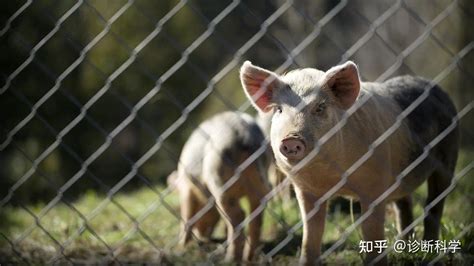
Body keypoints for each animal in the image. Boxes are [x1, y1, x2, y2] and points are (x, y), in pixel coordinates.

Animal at [172, 110, 272, 262]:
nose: (203, 237)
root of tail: (244, 134)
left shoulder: (186, 188)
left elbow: (186, 215)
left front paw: (181, 247)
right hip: (261, 177)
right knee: (256, 214)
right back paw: (247, 258)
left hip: (218, 175)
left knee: (238, 215)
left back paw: (230, 259)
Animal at [241, 61, 460, 264]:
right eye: (279, 110)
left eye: (320, 108)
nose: (291, 139)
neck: (330, 176)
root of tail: (435, 87)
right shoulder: (306, 190)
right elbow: (311, 232)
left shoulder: (375, 184)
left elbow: (370, 229)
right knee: (404, 204)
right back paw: (405, 248)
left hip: (448, 156)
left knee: (433, 204)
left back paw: (429, 253)